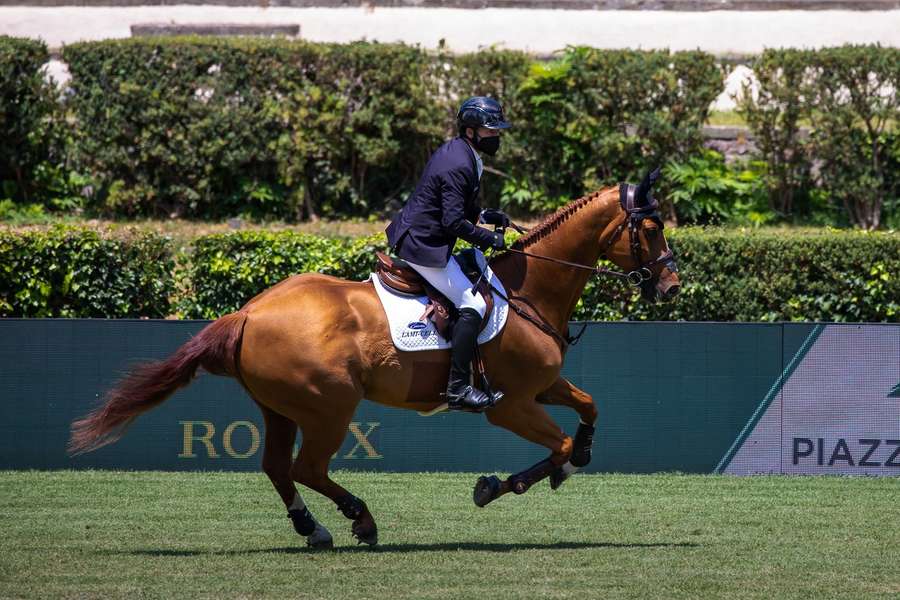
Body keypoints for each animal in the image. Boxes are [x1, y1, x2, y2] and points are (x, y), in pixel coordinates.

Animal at [70, 173, 680, 548]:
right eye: (651, 228)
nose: (672, 286)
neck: (527, 289)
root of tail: (247, 311)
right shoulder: (508, 406)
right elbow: (558, 444)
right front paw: (498, 486)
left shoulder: (541, 388)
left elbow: (589, 409)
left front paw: (575, 460)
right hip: (329, 407)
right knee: (306, 468)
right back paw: (360, 520)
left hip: (281, 408)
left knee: (277, 467)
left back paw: (313, 529)